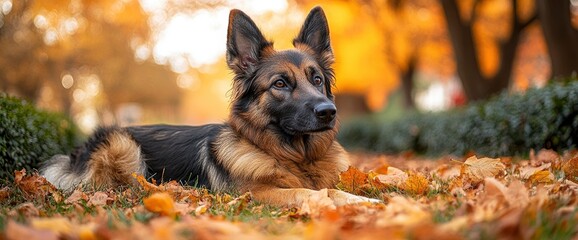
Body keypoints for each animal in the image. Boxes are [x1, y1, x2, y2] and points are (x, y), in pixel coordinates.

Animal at [40, 7, 376, 206]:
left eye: (317, 79)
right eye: (280, 84)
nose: (328, 112)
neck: (294, 156)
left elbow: (336, 188)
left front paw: (367, 200)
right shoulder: (254, 193)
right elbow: (316, 192)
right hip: (122, 144)